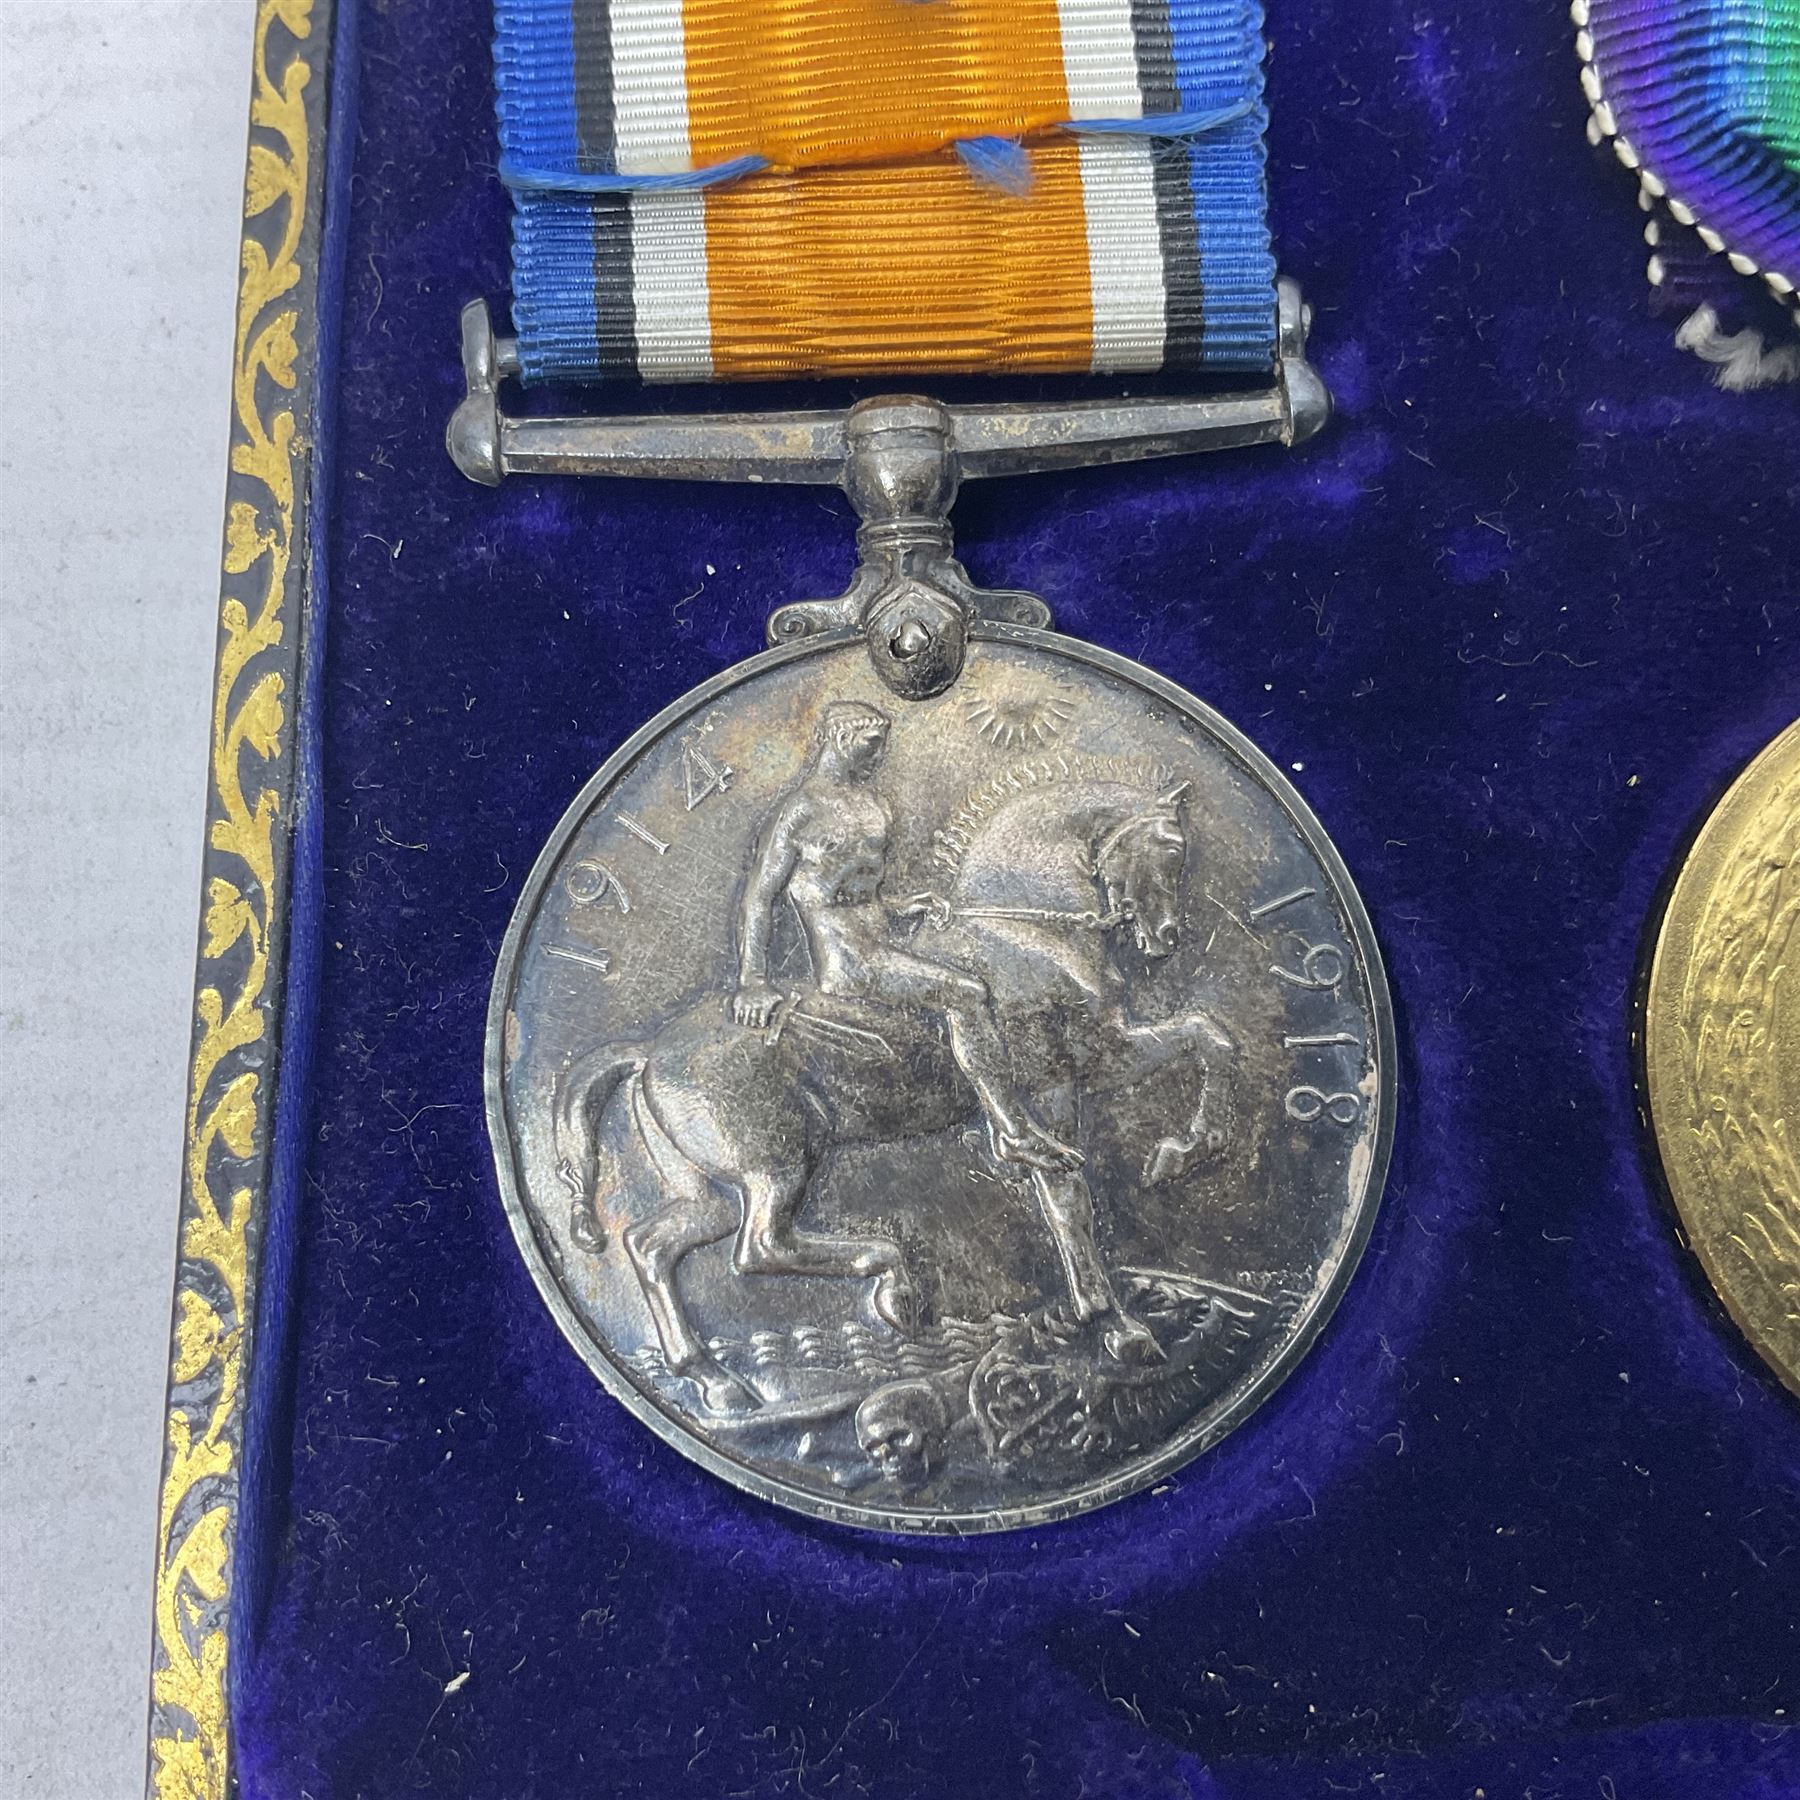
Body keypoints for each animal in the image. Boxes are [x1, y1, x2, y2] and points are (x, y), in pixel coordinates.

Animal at [550, 709, 1224, 1411]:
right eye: (1169, 849)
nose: (1165, 938)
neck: (1023, 928)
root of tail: (649, 1051)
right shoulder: (1086, 1062)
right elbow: (1202, 1046)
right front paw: (1182, 1158)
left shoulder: (1073, 1074)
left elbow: (1077, 1193)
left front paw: (1114, 1314)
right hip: (777, 1162)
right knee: (758, 1246)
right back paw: (891, 1280)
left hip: (705, 1186)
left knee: (652, 1244)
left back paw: (712, 1379)